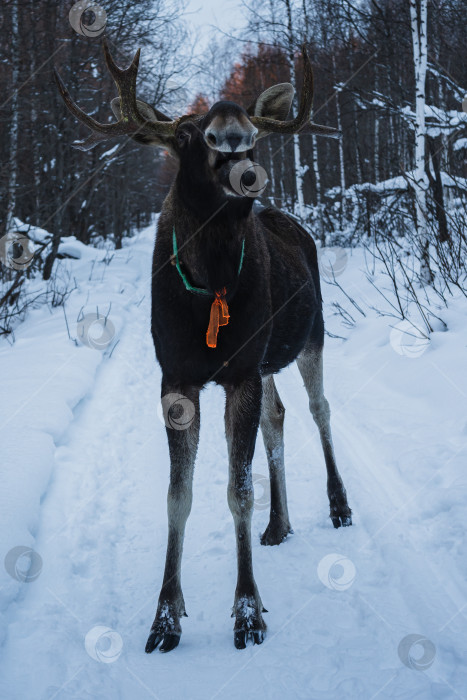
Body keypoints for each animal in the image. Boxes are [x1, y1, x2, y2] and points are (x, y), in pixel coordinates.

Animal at [54, 39, 352, 652]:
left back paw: (339, 505)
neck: (210, 282)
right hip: (268, 361)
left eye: (255, 133)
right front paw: (165, 614)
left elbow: (238, 490)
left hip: (310, 338)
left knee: (319, 409)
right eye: (190, 133)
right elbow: (178, 496)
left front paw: (247, 612)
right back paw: (280, 524)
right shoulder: (178, 378)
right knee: (279, 416)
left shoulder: (238, 372)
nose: (233, 137)